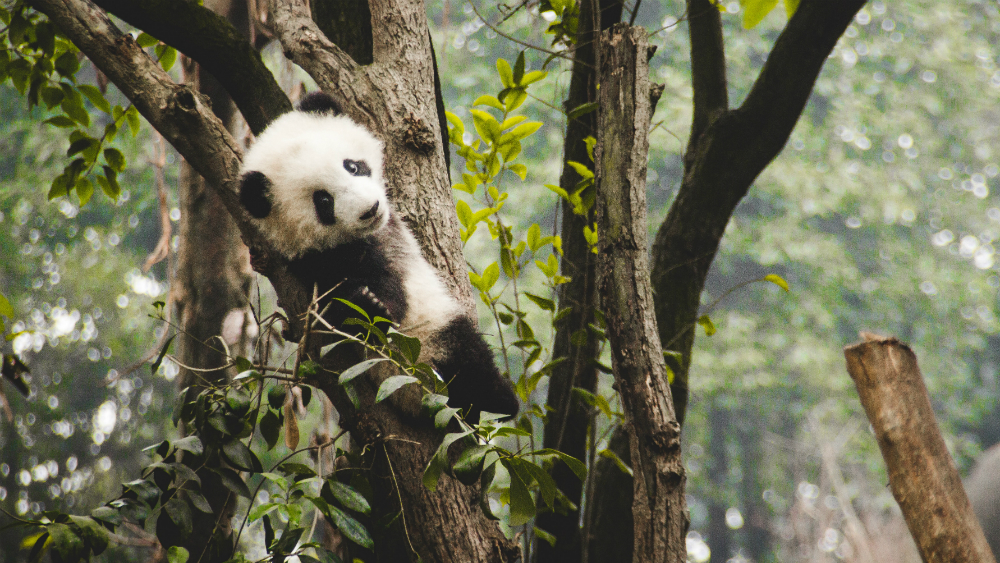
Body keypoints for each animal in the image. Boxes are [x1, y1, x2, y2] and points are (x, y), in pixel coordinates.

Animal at [239, 91, 519, 422]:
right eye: (323, 201)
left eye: (352, 166)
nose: (370, 209)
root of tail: (420, 394)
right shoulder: (315, 261)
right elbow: (355, 299)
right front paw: (368, 304)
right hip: (432, 340)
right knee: (469, 357)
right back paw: (501, 400)